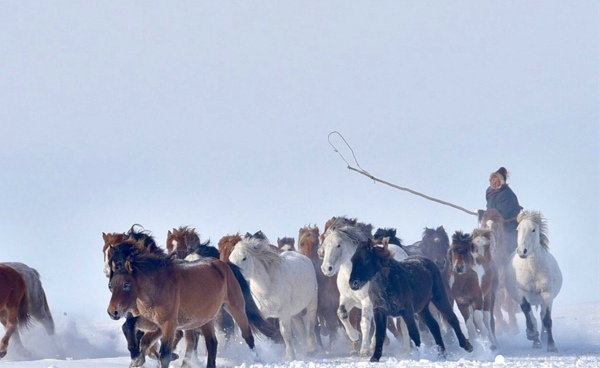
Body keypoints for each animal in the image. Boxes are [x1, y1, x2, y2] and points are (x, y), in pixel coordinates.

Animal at [107, 239, 260, 368]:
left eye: (126, 284)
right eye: (112, 285)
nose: (112, 312)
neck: (158, 287)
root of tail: (223, 264)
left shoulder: (169, 324)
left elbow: (164, 354)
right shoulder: (153, 322)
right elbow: (131, 327)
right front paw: (136, 358)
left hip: (235, 308)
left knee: (248, 337)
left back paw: (256, 359)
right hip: (205, 319)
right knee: (211, 343)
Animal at [227, 231, 318, 360]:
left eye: (244, 258)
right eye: (230, 259)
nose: (232, 276)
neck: (268, 286)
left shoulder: (284, 312)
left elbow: (285, 332)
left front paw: (290, 356)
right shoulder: (263, 313)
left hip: (311, 304)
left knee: (311, 326)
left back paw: (312, 350)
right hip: (294, 313)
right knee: (302, 330)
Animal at [318, 217, 408, 356]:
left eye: (338, 245)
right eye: (325, 243)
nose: (327, 268)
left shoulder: (367, 301)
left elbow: (364, 323)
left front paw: (364, 350)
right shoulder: (346, 298)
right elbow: (341, 314)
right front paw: (355, 337)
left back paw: (406, 350)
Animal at [346, 237, 474, 360]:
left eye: (366, 260)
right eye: (352, 260)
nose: (353, 283)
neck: (388, 284)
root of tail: (427, 260)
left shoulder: (407, 312)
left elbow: (413, 333)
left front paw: (420, 355)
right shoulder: (380, 312)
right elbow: (380, 335)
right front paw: (374, 358)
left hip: (439, 298)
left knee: (452, 318)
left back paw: (467, 346)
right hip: (422, 310)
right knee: (434, 326)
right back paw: (441, 354)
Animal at [506, 210, 564, 350]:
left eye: (533, 229)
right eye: (518, 229)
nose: (522, 251)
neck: (533, 270)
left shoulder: (547, 294)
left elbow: (547, 320)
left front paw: (551, 346)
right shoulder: (521, 292)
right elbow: (528, 312)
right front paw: (531, 334)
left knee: (543, 317)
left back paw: (543, 338)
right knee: (534, 318)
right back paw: (536, 341)